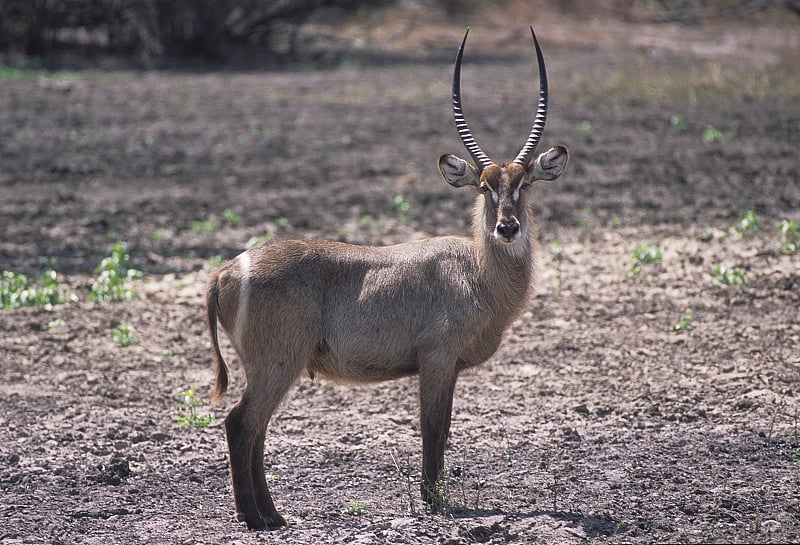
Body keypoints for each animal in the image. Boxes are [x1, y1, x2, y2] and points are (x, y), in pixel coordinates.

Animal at [206, 26, 568, 532]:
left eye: (525, 184)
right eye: (484, 186)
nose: (507, 228)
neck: (476, 272)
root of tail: (228, 270)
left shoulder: (449, 367)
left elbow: (444, 427)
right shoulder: (437, 359)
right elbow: (433, 428)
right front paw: (434, 501)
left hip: (272, 367)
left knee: (255, 428)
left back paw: (274, 516)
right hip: (277, 362)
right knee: (241, 424)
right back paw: (255, 518)